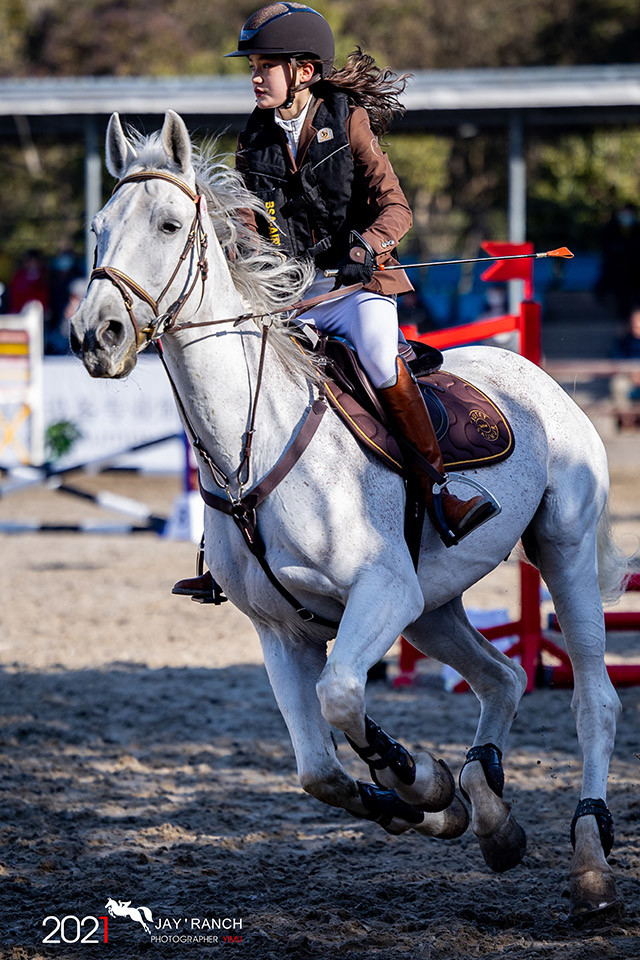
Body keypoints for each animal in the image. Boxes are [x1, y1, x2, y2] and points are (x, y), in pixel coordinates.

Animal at [71, 110, 624, 924]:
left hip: (560, 551)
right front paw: (427, 801)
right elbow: (318, 769)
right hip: (432, 606)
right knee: (501, 677)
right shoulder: (284, 632)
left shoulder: (380, 592)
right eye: (99, 229)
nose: (96, 335)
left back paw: (589, 861)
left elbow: (342, 697)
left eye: (169, 224)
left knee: (595, 700)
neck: (252, 446)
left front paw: (416, 779)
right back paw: (491, 813)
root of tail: (534, 374)